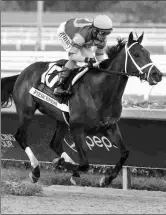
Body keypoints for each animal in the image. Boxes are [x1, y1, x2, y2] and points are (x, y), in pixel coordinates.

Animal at [1, 32, 162, 186]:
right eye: (136, 54)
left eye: (148, 53)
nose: (157, 75)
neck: (100, 91)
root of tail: (23, 72)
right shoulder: (76, 128)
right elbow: (85, 164)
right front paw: (60, 164)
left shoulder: (110, 127)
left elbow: (125, 153)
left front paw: (107, 179)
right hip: (26, 111)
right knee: (21, 137)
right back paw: (36, 170)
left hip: (62, 120)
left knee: (55, 143)